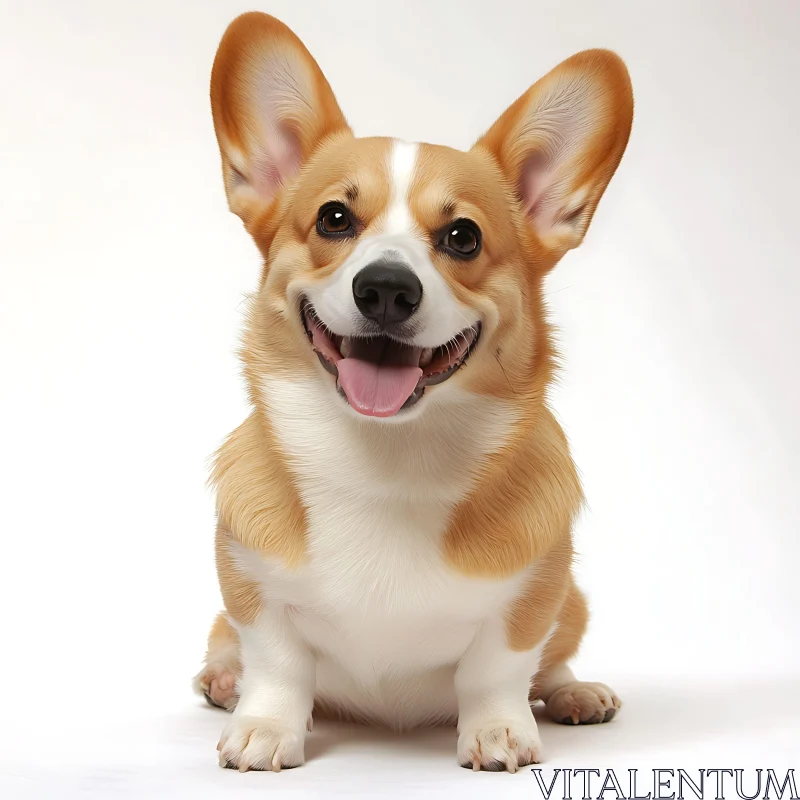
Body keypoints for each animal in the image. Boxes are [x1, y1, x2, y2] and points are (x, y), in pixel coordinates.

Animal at [192, 12, 632, 772]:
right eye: (335, 219)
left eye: (462, 237)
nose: (387, 289)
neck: (388, 461)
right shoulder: (250, 583)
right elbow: (277, 662)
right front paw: (267, 726)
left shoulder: (536, 591)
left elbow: (499, 667)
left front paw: (498, 731)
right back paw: (224, 681)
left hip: (573, 605)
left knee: (553, 664)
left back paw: (576, 694)